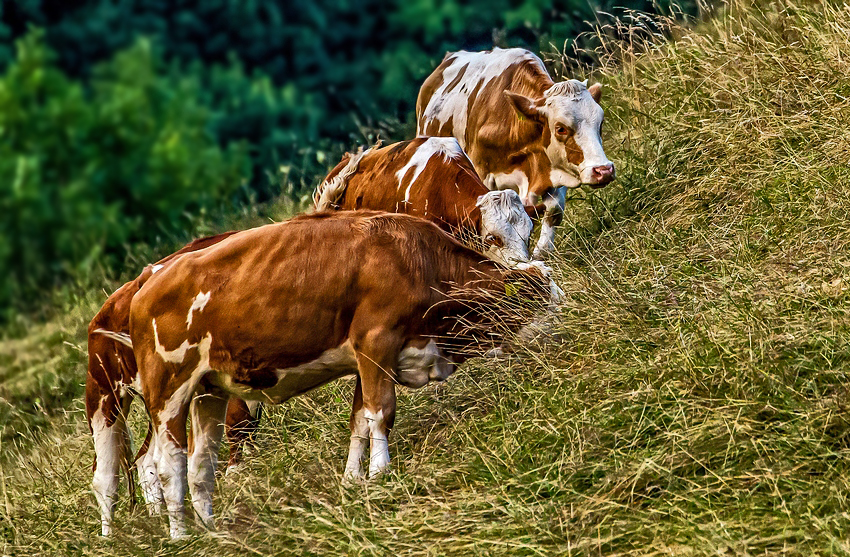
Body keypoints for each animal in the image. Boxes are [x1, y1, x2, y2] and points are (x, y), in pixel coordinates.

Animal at [87, 230, 262, 536]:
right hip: (104, 397)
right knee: (105, 476)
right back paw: (110, 539)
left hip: (156, 399)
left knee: (145, 458)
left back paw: (159, 516)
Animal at [106, 211, 548, 536]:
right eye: (532, 303)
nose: (558, 339)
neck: (414, 257)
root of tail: (146, 281)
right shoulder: (376, 341)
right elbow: (381, 413)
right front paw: (381, 475)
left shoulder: (364, 357)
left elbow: (360, 420)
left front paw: (354, 480)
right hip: (169, 389)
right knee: (167, 464)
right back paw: (180, 535)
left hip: (207, 390)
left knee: (200, 464)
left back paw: (212, 530)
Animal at [414, 46, 612, 258]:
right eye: (561, 128)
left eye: (601, 123)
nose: (604, 170)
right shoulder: (481, 174)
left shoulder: (557, 168)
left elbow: (553, 211)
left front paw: (541, 253)